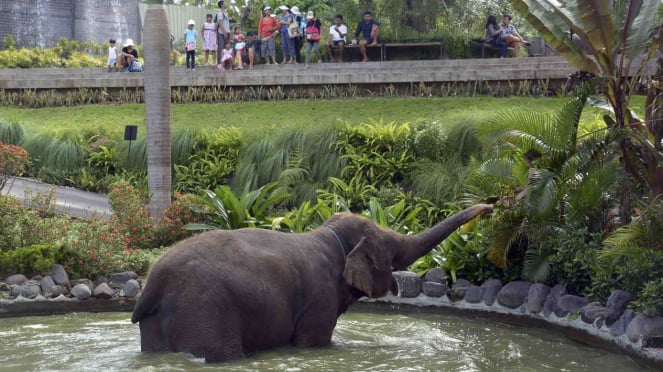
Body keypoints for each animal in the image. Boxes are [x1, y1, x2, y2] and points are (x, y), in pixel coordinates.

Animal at [131, 203, 492, 364]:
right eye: (390, 251)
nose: (491, 205)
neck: (328, 235)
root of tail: (153, 283)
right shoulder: (320, 299)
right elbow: (312, 343)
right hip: (206, 312)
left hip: (158, 324)